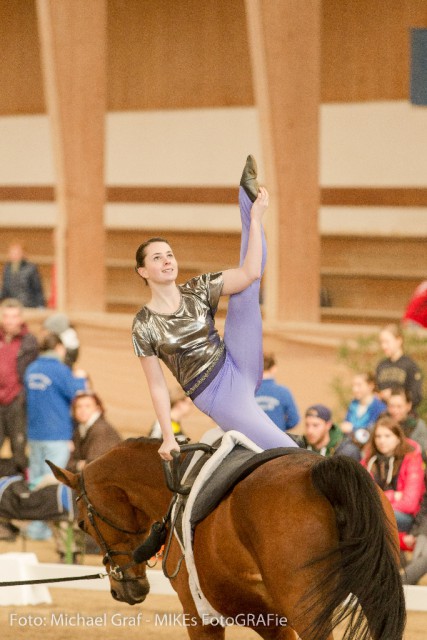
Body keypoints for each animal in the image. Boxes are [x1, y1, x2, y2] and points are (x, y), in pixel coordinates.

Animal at [48, 438, 406, 640]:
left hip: (309, 611)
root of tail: (323, 470)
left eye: (83, 524)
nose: (124, 590)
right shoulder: (270, 620)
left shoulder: (200, 617)